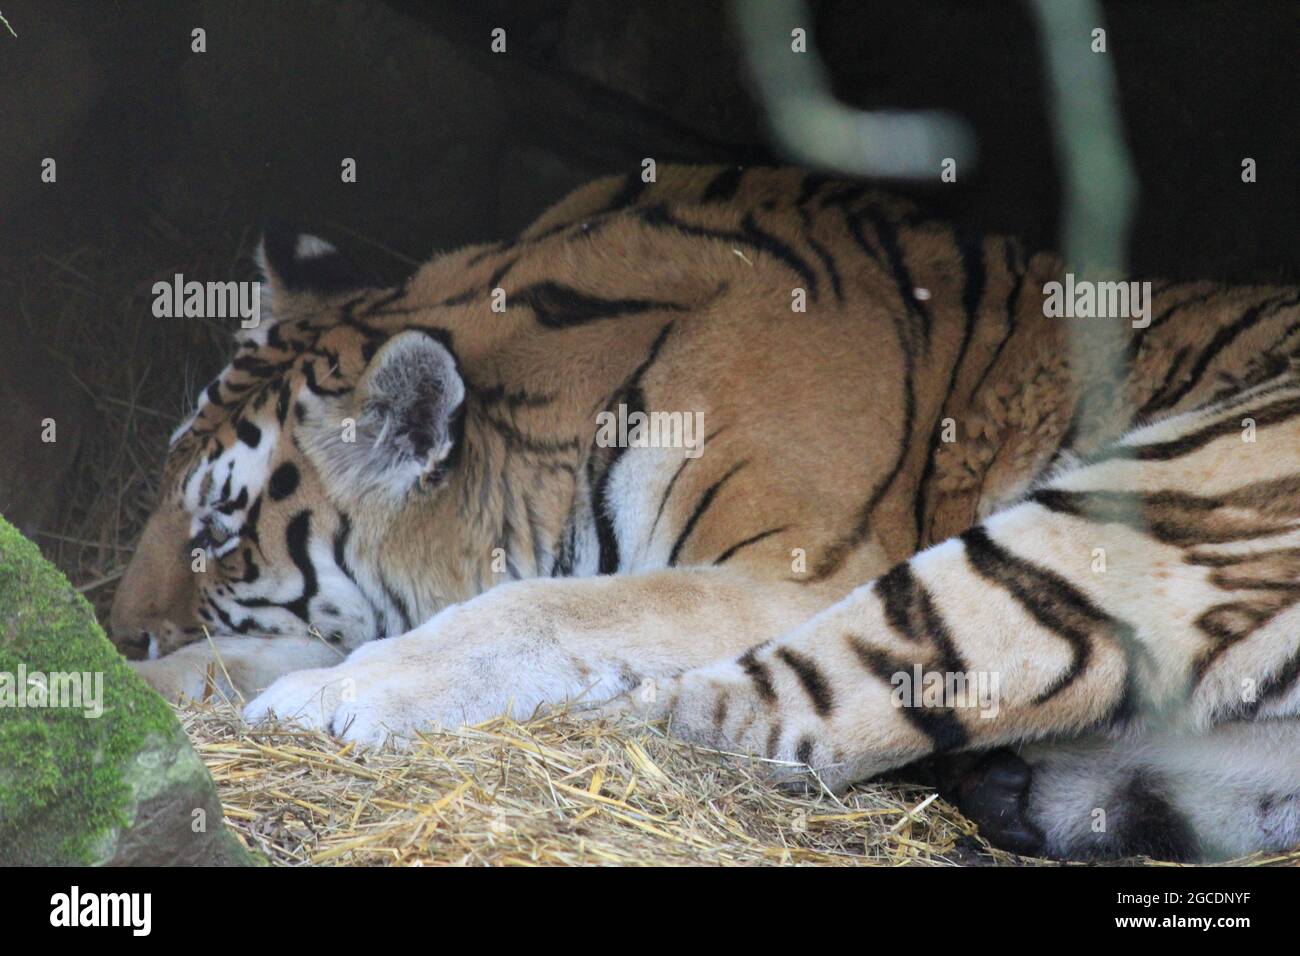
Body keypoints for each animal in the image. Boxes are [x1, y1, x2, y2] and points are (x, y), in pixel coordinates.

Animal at [114, 166, 1300, 868]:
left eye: (219, 539)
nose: (119, 630)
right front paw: (160, 692)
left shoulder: (797, 566)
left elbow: (540, 610)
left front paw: (332, 699)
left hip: (1144, 504)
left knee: (766, 714)